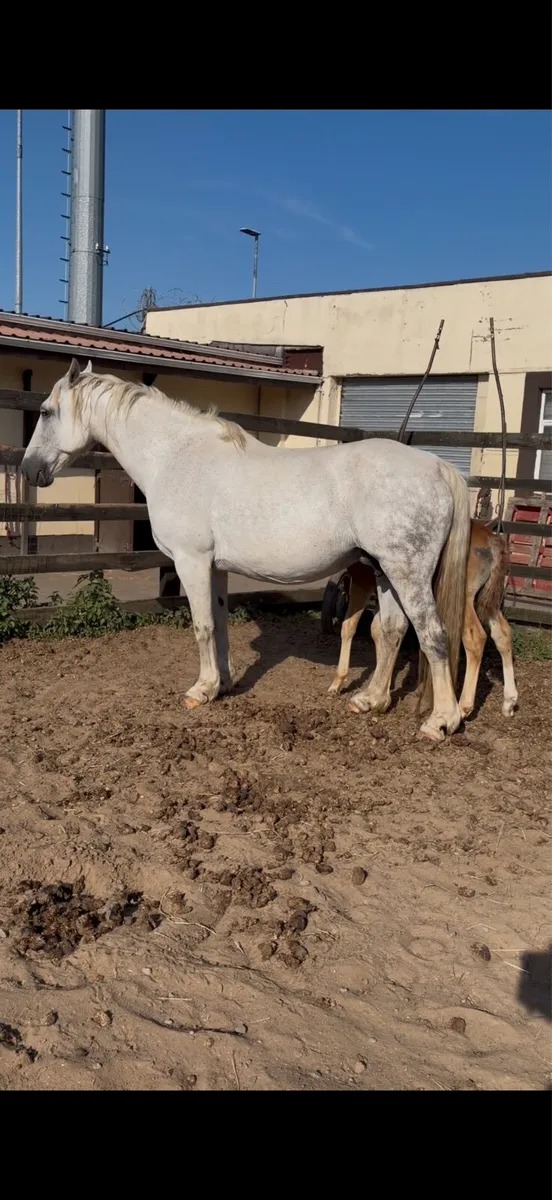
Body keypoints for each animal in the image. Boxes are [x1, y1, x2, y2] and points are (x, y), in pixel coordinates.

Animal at [21, 358, 472, 742]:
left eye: (44, 412)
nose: (28, 471)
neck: (174, 457)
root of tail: (438, 467)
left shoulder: (191, 561)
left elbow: (201, 625)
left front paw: (200, 690)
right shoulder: (215, 567)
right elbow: (219, 624)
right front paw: (223, 683)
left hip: (407, 573)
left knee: (433, 635)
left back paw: (441, 722)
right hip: (384, 571)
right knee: (391, 630)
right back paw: (370, 700)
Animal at [327, 519, 518, 720]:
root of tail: (491, 538)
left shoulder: (362, 580)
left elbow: (350, 626)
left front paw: (340, 682)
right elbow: (381, 629)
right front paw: (382, 688)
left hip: (463, 599)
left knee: (475, 638)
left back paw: (463, 706)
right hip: (487, 601)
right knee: (503, 634)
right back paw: (509, 702)